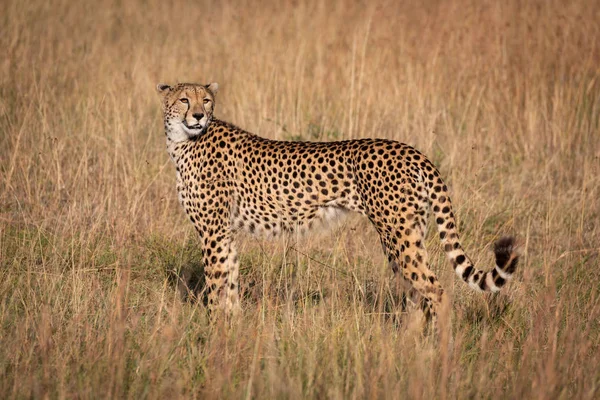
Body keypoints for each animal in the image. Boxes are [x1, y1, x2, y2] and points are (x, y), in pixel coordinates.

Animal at [157, 81, 516, 318]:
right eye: (185, 100)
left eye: (206, 100)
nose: (199, 116)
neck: (183, 142)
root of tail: (411, 150)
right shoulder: (225, 233)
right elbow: (229, 282)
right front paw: (232, 328)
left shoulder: (213, 233)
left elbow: (216, 284)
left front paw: (216, 334)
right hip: (408, 233)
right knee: (418, 293)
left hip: (397, 233)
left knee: (436, 291)